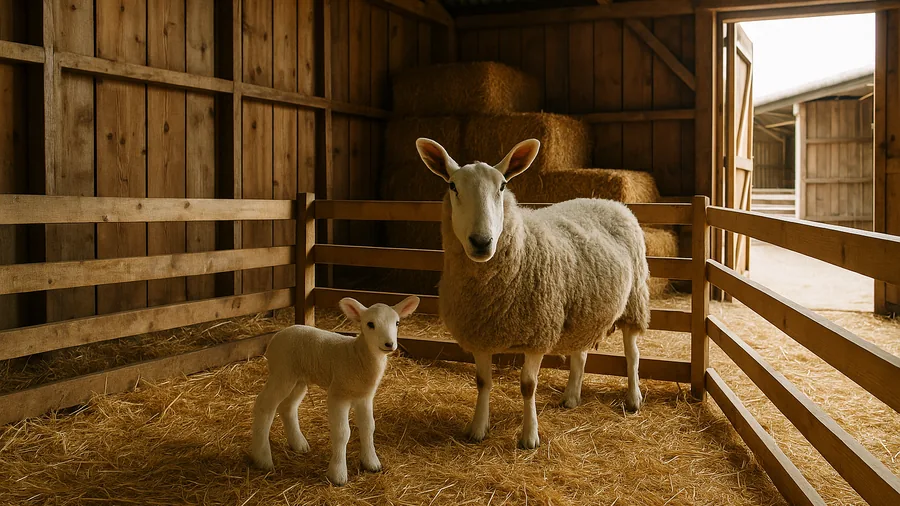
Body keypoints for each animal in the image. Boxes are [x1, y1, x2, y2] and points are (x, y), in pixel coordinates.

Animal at [249, 295, 420, 485]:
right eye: (370, 324)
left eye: (397, 323)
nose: (389, 344)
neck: (357, 355)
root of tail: (278, 335)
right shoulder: (338, 395)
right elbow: (342, 433)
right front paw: (338, 474)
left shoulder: (365, 397)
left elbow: (369, 427)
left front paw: (372, 463)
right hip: (282, 372)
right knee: (264, 406)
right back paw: (262, 458)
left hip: (299, 379)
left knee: (288, 406)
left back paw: (299, 444)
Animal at [415, 137, 650, 450]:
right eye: (453, 186)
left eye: (502, 186)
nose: (482, 242)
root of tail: (607, 200)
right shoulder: (479, 333)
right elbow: (482, 382)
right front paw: (477, 428)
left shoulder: (538, 333)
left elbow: (528, 386)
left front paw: (529, 436)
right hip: (584, 308)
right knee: (581, 353)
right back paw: (571, 397)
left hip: (635, 299)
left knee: (632, 353)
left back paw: (634, 399)